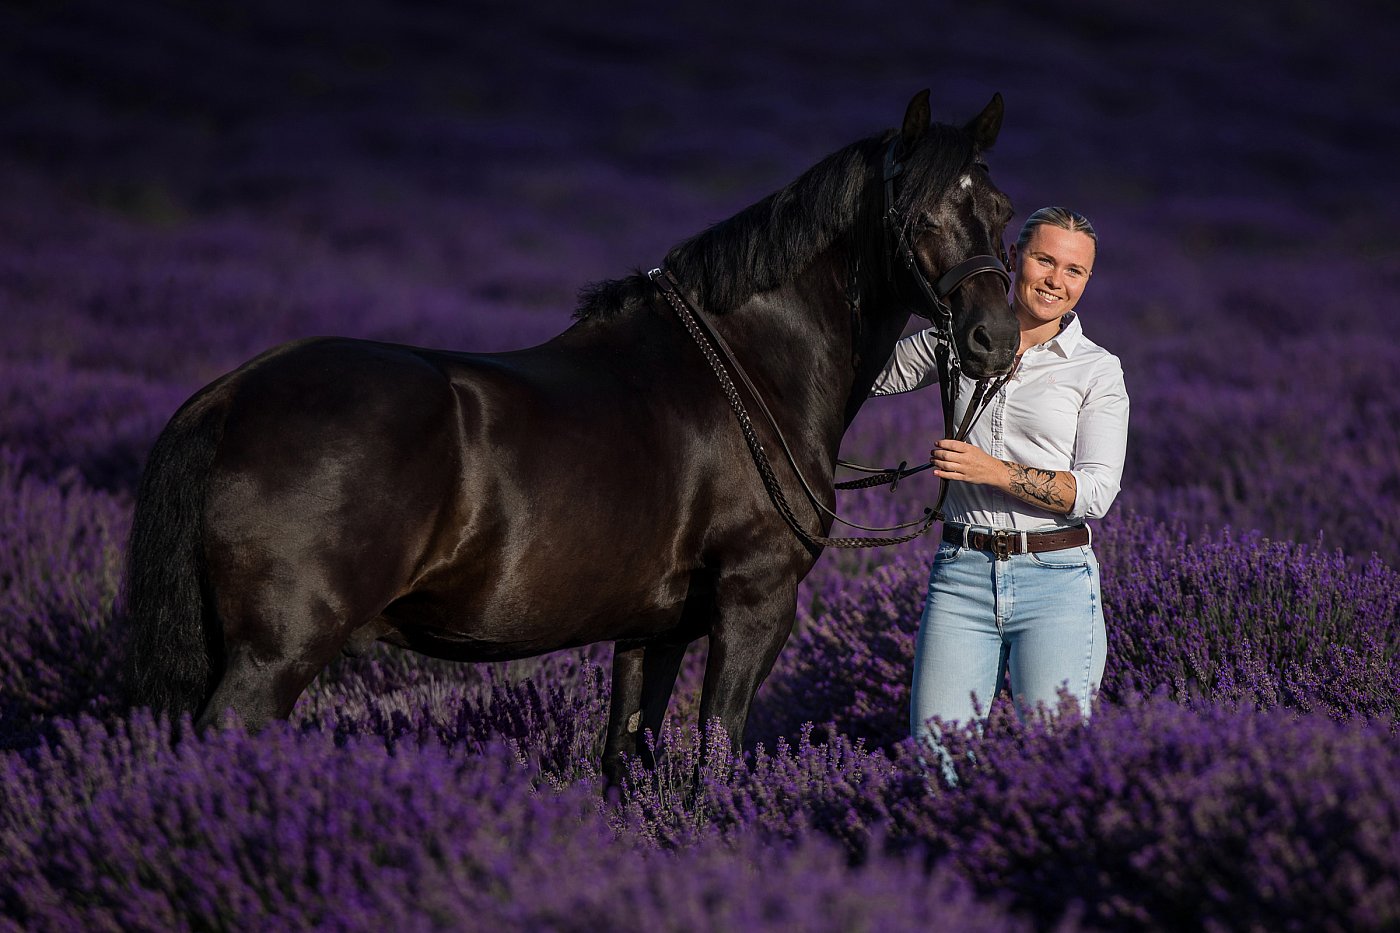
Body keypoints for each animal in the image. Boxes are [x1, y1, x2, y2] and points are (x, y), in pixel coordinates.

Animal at [121, 90, 1020, 785]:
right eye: (917, 214)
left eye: (1000, 211)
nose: (995, 338)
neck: (750, 370)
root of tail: (229, 396)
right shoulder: (754, 605)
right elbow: (714, 762)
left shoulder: (654, 630)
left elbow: (630, 758)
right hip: (277, 654)